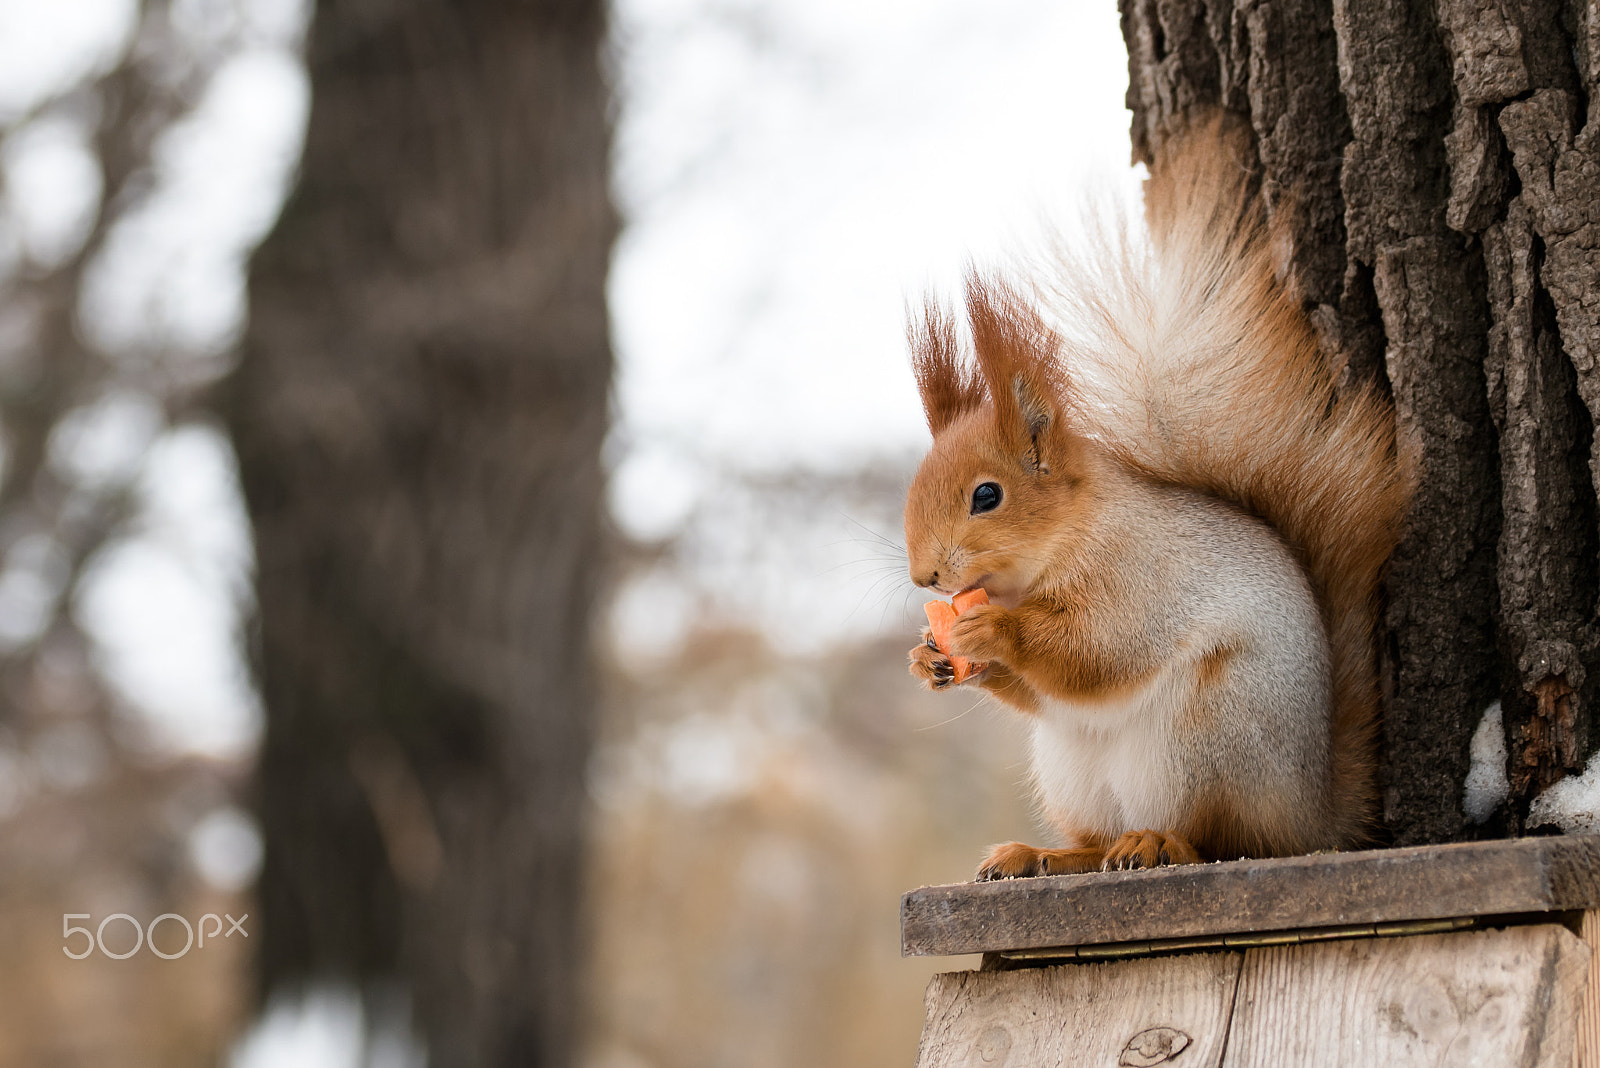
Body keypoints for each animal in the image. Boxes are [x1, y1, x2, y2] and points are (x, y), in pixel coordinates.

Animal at [904, 118, 1415, 879]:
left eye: (987, 495)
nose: (924, 577)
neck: (1060, 545)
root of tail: (1309, 815)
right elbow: (1040, 689)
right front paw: (929, 658)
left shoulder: (1141, 577)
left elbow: (1099, 650)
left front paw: (994, 633)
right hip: (1074, 768)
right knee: (1098, 841)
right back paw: (1041, 854)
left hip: (1208, 736)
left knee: (1220, 838)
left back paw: (1158, 843)